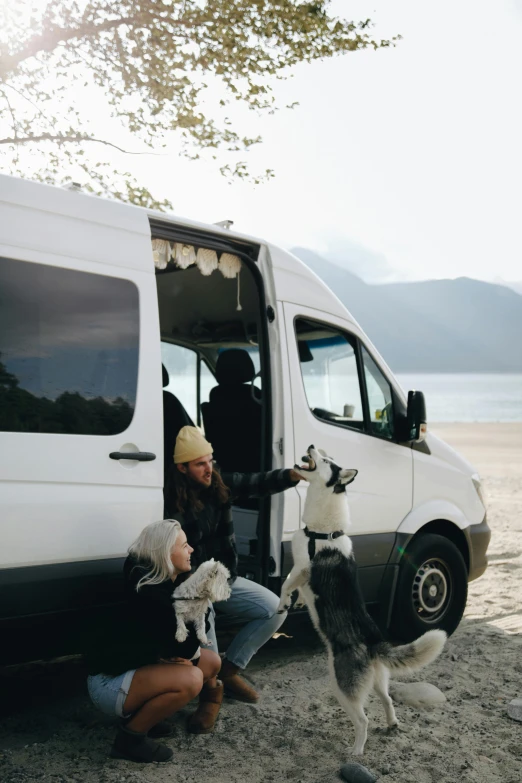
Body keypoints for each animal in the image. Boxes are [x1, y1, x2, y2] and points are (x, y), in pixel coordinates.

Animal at [278, 450, 444, 756]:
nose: (311, 446)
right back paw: (391, 724)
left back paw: (356, 750)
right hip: (377, 681)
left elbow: (285, 584)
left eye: (326, 460)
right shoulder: (299, 571)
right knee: (388, 699)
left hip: (342, 687)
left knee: (363, 719)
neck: (323, 530)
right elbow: (294, 588)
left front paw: (283, 604)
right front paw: (296, 602)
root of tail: (374, 642)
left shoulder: (302, 568)